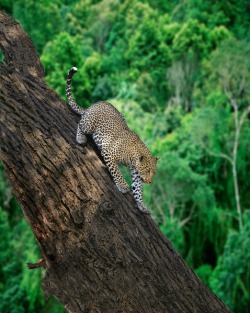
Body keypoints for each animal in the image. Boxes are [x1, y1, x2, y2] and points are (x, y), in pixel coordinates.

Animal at [65, 66, 158, 212]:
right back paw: (80, 138)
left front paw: (142, 205)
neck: (134, 157)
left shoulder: (136, 174)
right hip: (89, 123)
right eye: (148, 171)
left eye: (154, 172)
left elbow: (138, 190)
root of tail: (93, 105)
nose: (149, 181)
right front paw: (123, 186)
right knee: (80, 124)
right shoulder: (110, 154)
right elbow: (117, 172)